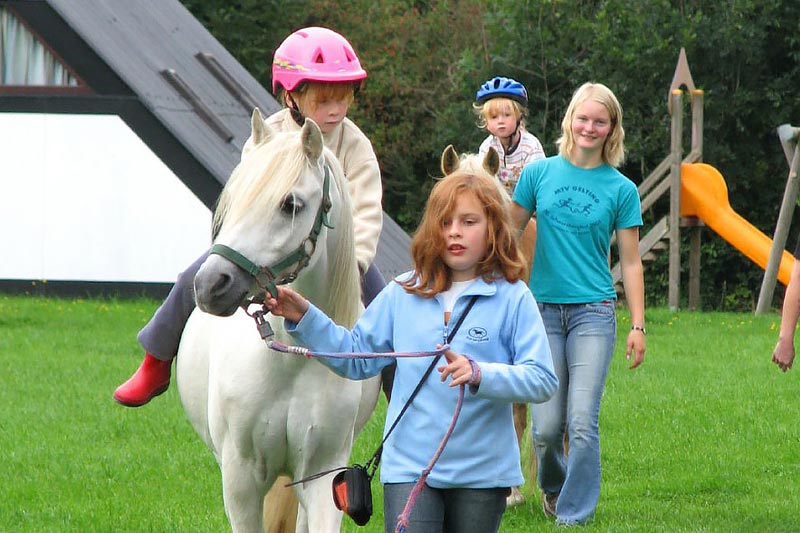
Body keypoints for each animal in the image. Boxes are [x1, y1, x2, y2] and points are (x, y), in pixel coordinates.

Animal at [176, 109, 382, 532]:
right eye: (234, 198)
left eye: (290, 204)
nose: (210, 284)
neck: (290, 360)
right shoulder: (240, 480)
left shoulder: (323, 477)